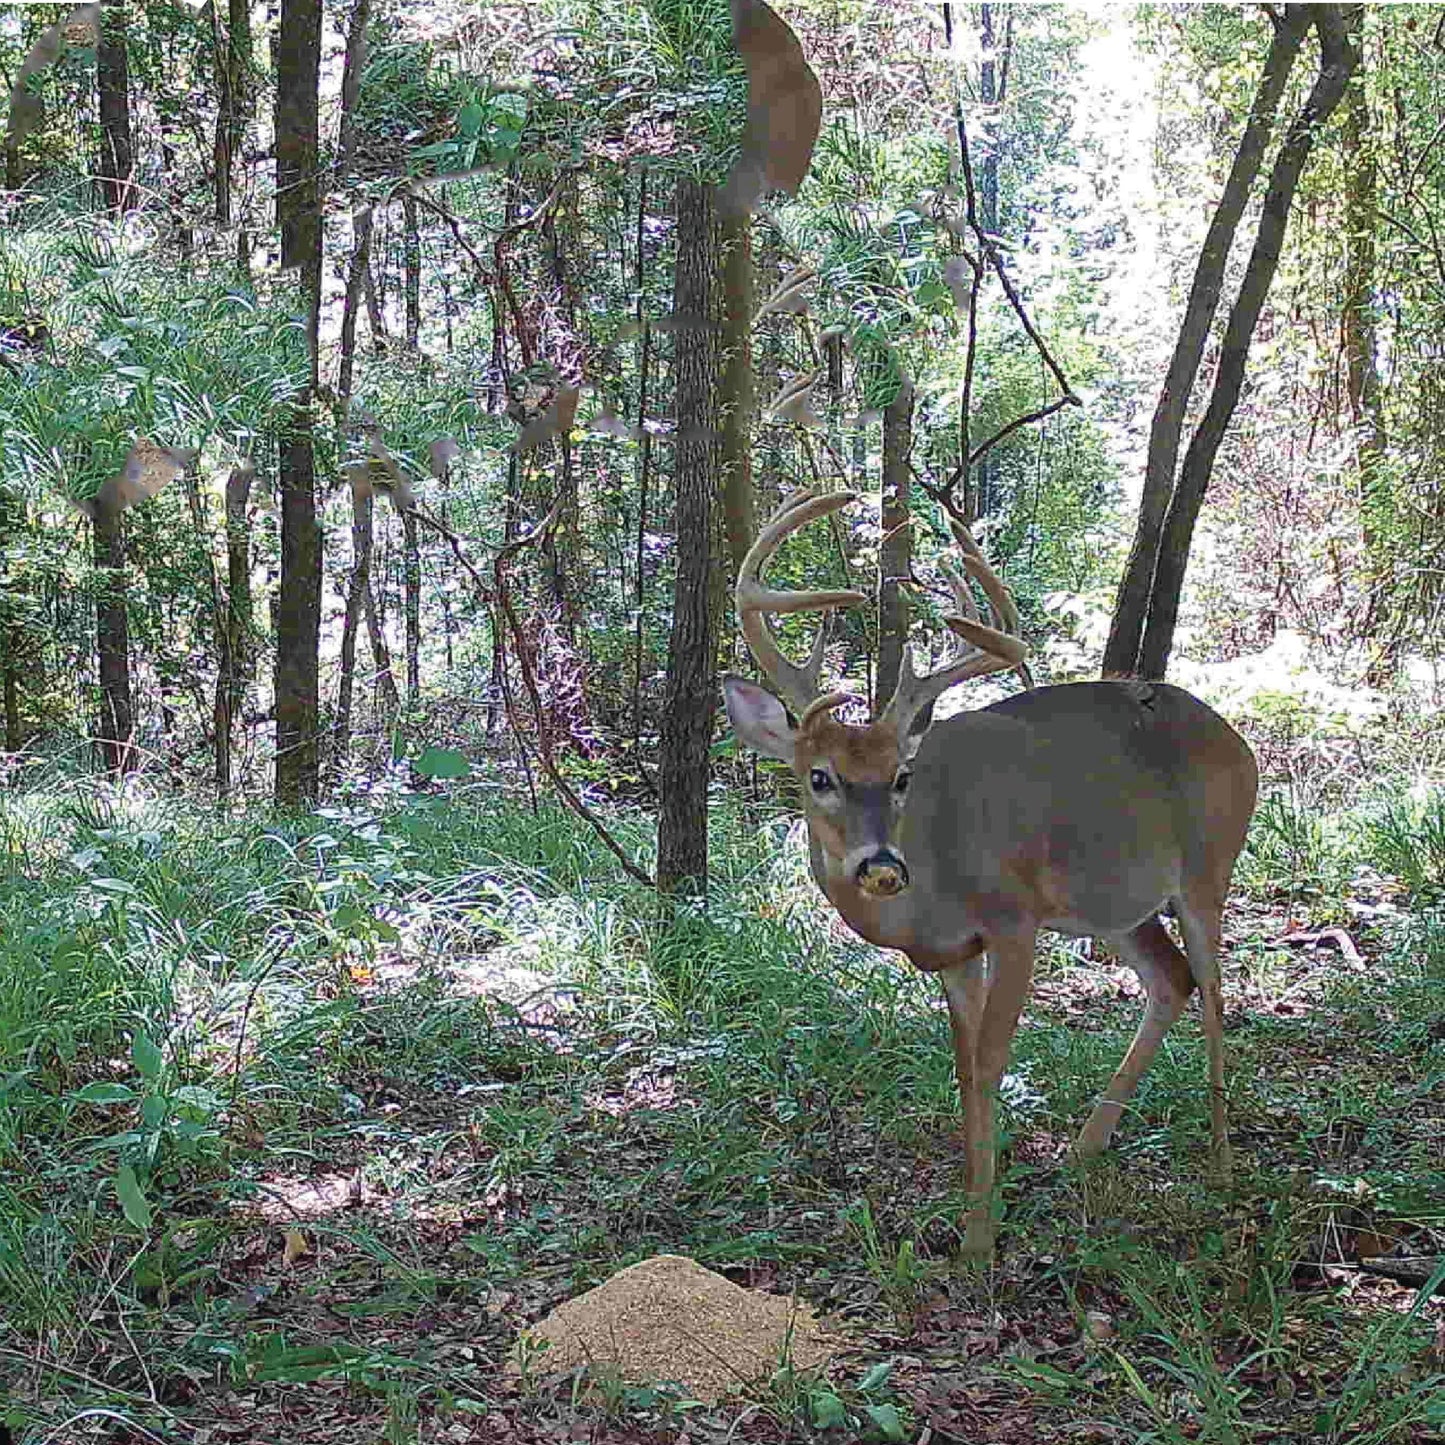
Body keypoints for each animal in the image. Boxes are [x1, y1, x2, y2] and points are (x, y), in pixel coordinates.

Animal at [722, 490, 1259, 1258]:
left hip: (1208, 869)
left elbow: (991, 1058)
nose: (880, 865)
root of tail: (1239, 741)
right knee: (1171, 979)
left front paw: (980, 1241)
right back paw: (1084, 1147)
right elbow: (965, 1066)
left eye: (902, 776)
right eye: (818, 776)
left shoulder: (1014, 919)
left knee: (1215, 991)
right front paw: (975, 1209)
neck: (931, 890)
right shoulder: (951, 953)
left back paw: (1218, 1163)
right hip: (1117, 905)